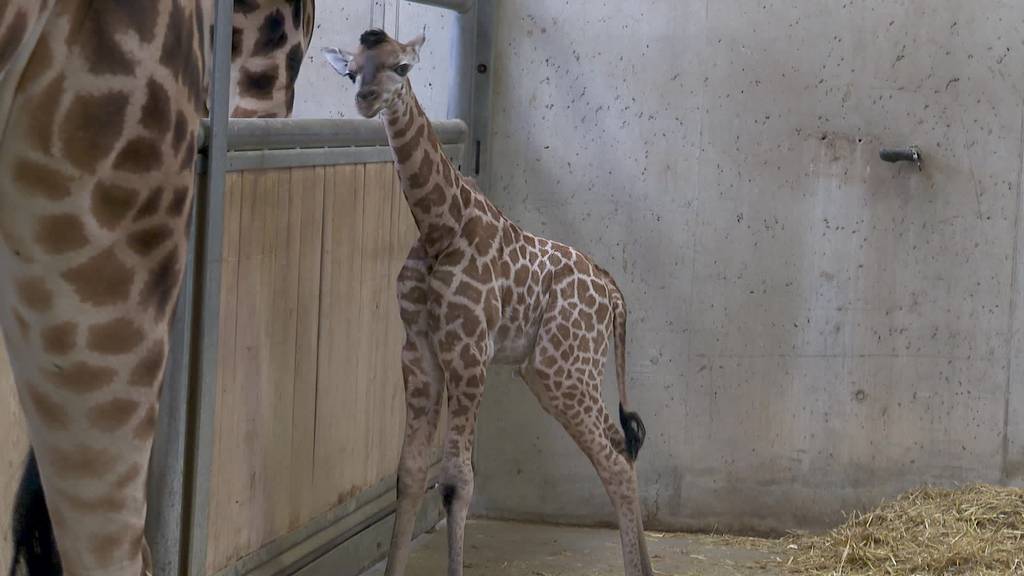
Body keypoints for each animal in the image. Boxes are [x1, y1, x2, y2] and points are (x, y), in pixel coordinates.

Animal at [323, 30, 651, 573]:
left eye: (403, 67)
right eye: (351, 71)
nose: (365, 99)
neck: (440, 227)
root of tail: (613, 293)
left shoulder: (469, 353)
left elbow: (458, 482)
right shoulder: (419, 352)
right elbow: (410, 474)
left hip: (563, 370)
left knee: (614, 459)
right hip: (557, 371)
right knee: (622, 444)